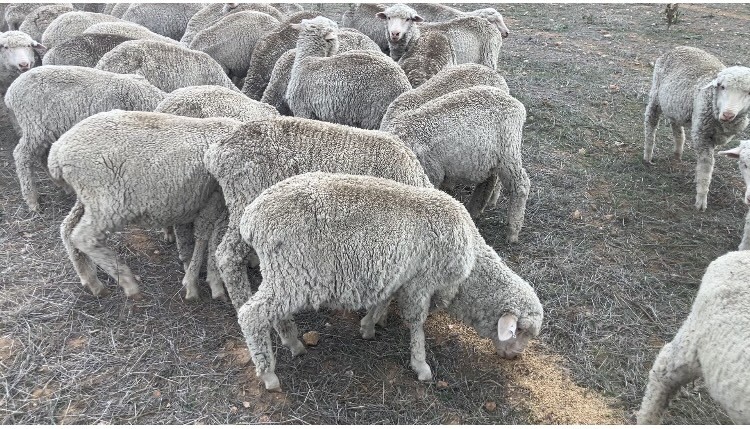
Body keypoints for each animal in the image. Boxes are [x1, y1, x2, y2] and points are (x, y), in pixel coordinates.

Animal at [4, 65, 166, 211]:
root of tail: (10, 93)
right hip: (34, 125)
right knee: (22, 155)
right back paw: (32, 200)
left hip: (47, 130)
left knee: (42, 156)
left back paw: (63, 185)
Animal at [48, 110, 242, 301]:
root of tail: (57, 151)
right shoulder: (217, 200)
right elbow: (208, 240)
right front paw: (201, 284)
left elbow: (210, 240)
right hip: (107, 200)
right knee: (83, 237)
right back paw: (127, 281)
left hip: (89, 198)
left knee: (67, 228)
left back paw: (91, 280)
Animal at [236, 171, 544, 391]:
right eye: (520, 331)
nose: (514, 357)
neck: (469, 268)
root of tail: (251, 218)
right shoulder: (422, 281)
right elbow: (417, 323)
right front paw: (420, 364)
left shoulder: (399, 275)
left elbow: (383, 301)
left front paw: (368, 326)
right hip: (294, 272)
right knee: (251, 315)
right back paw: (269, 375)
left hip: (282, 275)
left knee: (272, 313)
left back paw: (292, 342)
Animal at [381, 85, 529, 242]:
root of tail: (516, 104)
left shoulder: (432, 173)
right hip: (490, 158)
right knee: (489, 180)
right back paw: (475, 210)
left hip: (508, 151)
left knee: (521, 185)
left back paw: (512, 230)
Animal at [643, 46, 750, 211]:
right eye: (722, 87)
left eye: (748, 93)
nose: (728, 114)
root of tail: (680, 47)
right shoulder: (702, 134)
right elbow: (706, 165)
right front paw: (701, 199)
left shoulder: (713, 136)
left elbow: (703, 163)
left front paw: (697, 178)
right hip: (656, 96)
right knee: (651, 122)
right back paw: (648, 155)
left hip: (676, 104)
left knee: (676, 125)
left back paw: (677, 152)